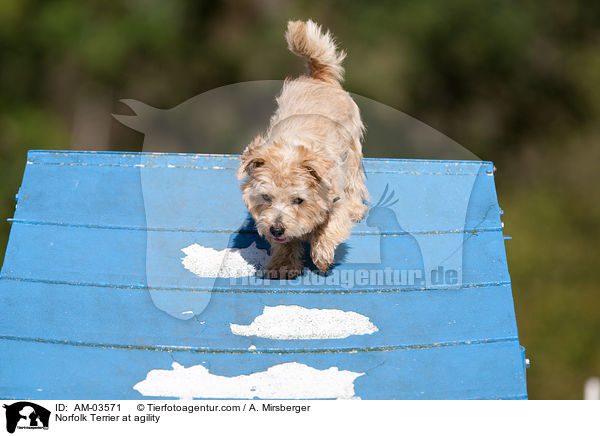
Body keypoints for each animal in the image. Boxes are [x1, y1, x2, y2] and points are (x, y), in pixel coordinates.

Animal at [237, 18, 368, 278]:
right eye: (266, 197)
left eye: (298, 200)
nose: (276, 229)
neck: (291, 149)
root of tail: (319, 77)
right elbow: (285, 244)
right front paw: (283, 265)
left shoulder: (335, 199)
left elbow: (331, 226)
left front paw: (322, 253)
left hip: (352, 150)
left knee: (354, 181)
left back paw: (357, 208)